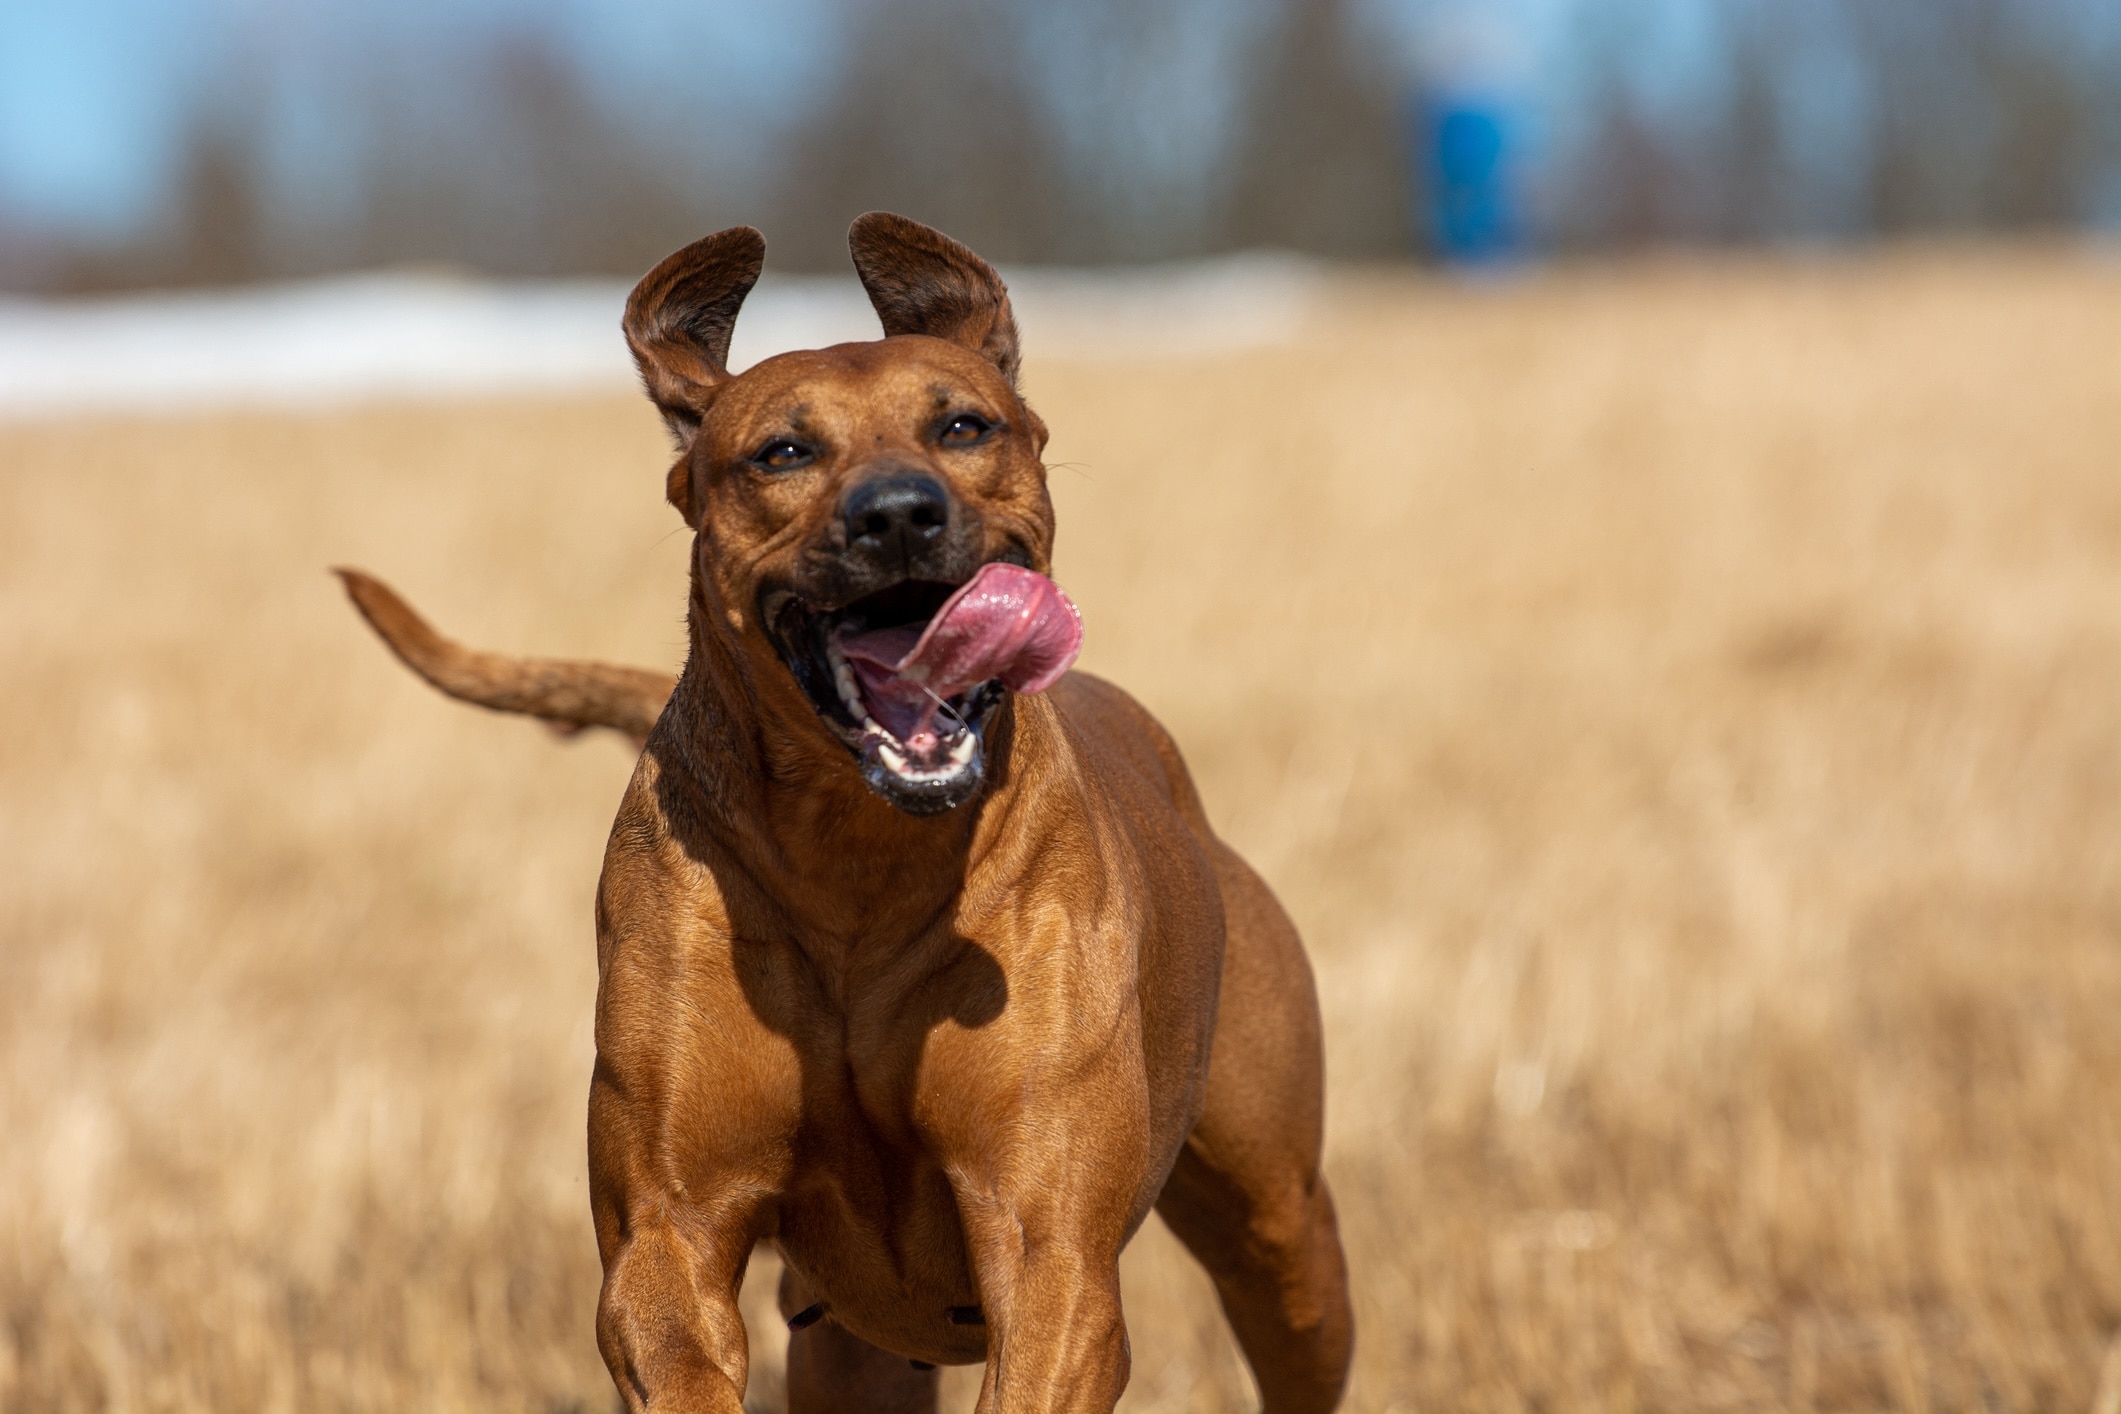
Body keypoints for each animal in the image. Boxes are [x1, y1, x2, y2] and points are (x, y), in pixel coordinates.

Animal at [339, 213, 1348, 1414]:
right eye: (783, 452)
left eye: (962, 426)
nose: (900, 512)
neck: (858, 856)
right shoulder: (668, 1225)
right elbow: (673, 1323)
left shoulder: (1051, 1247)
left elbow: (1051, 1289)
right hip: (850, 1346)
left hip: (1282, 1229)